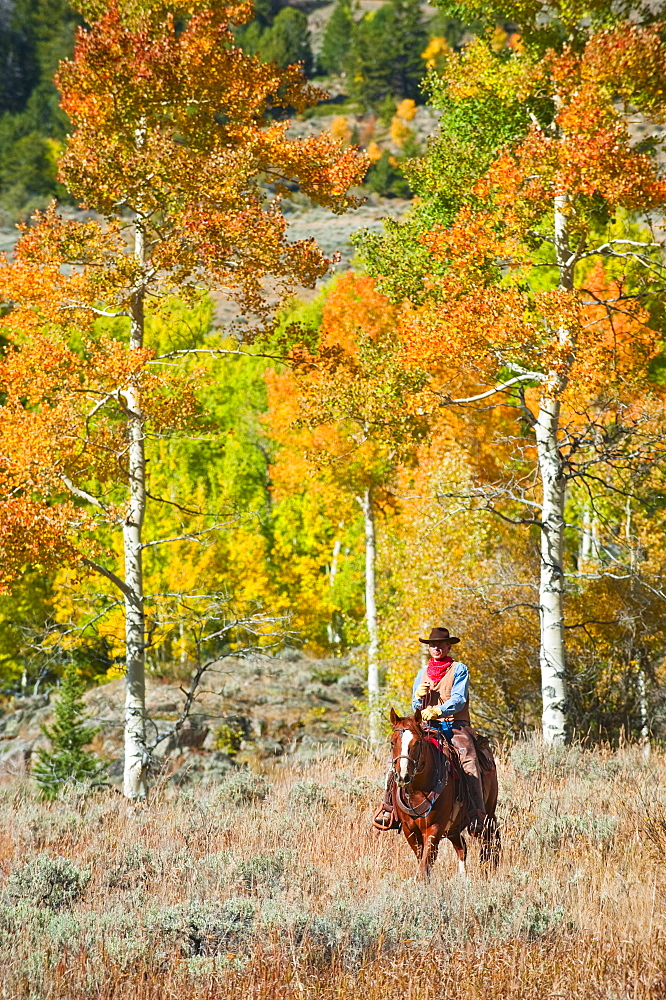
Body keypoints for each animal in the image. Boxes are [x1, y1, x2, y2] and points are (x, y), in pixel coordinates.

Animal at [384, 708, 498, 880]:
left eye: (417, 742)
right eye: (392, 742)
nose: (403, 777)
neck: (417, 791)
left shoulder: (434, 828)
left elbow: (425, 866)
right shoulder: (409, 830)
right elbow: (422, 860)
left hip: (488, 816)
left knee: (488, 845)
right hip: (454, 827)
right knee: (461, 847)